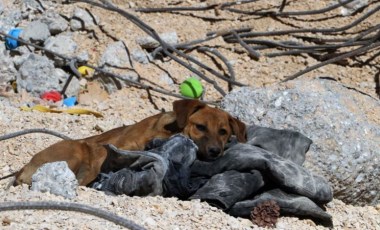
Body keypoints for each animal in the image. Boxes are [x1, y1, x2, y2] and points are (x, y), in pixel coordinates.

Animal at [13, 99, 246, 187]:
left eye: (223, 132)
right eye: (201, 127)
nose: (215, 151)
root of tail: (24, 168)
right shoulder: (111, 148)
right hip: (74, 151)